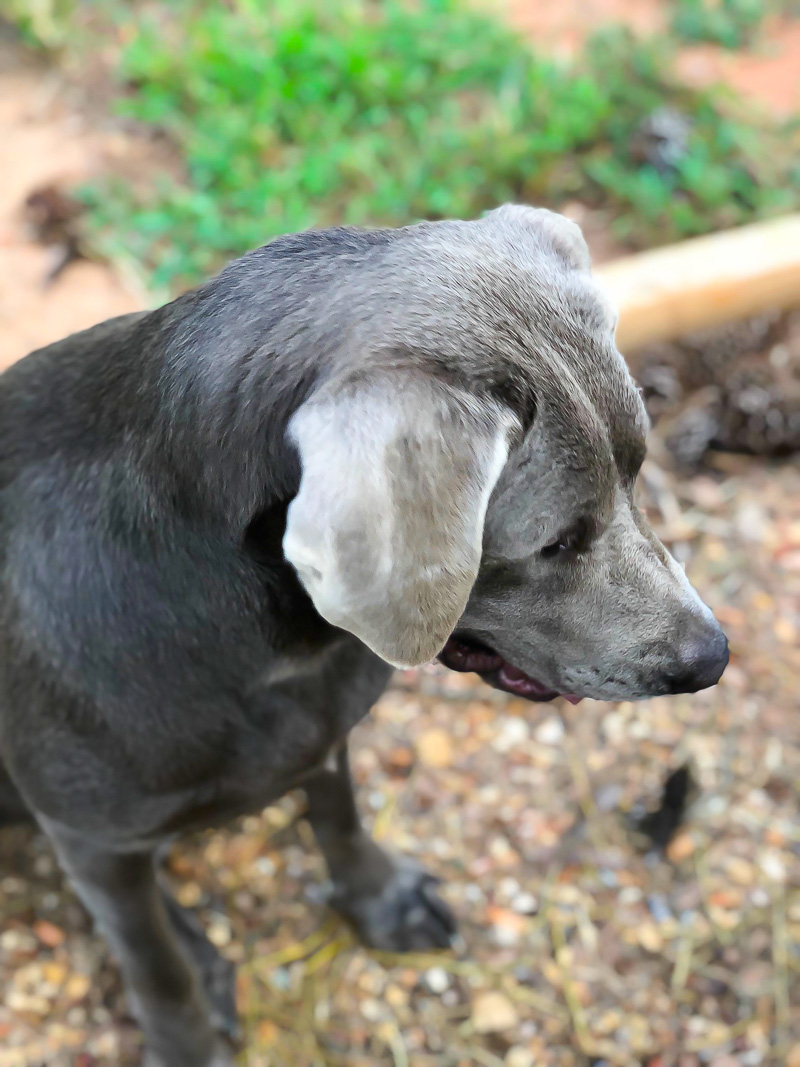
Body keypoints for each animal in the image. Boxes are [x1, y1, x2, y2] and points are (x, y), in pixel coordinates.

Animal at [0, 203, 725, 1062]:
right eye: (557, 541)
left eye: (638, 472)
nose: (712, 657)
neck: (278, 653)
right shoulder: (92, 836)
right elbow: (150, 957)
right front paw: (186, 1036)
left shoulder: (323, 725)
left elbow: (338, 813)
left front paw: (382, 899)